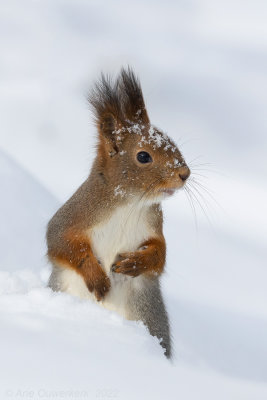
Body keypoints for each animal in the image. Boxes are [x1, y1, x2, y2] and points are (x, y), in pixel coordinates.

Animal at [47, 67, 191, 358]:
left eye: (170, 140)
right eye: (143, 156)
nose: (185, 174)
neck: (131, 203)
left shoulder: (154, 227)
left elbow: (159, 254)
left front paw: (135, 263)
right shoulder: (76, 213)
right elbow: (60, 242)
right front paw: (97, 278)